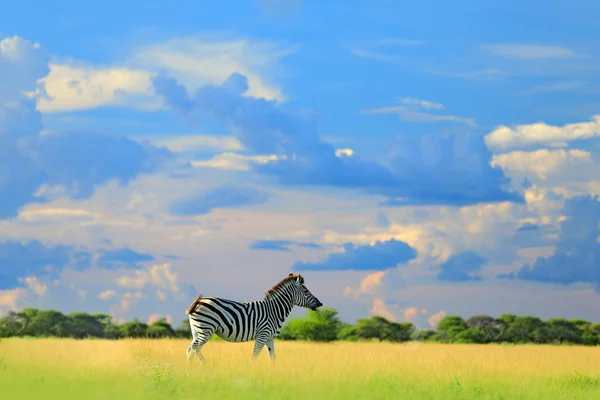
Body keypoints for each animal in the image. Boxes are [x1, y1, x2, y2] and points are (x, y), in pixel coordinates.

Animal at [185, 272, 324, 362]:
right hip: (206, 328)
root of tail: (198, 301)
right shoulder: (263, 334)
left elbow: (273, 358)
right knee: (195, 348)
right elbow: (254, 356)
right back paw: (205, 365)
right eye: (306, 291)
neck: (274, 310)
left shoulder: (270, 338)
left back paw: (191, 371)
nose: (320, 303)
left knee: (190, 349)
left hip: (197, 330)